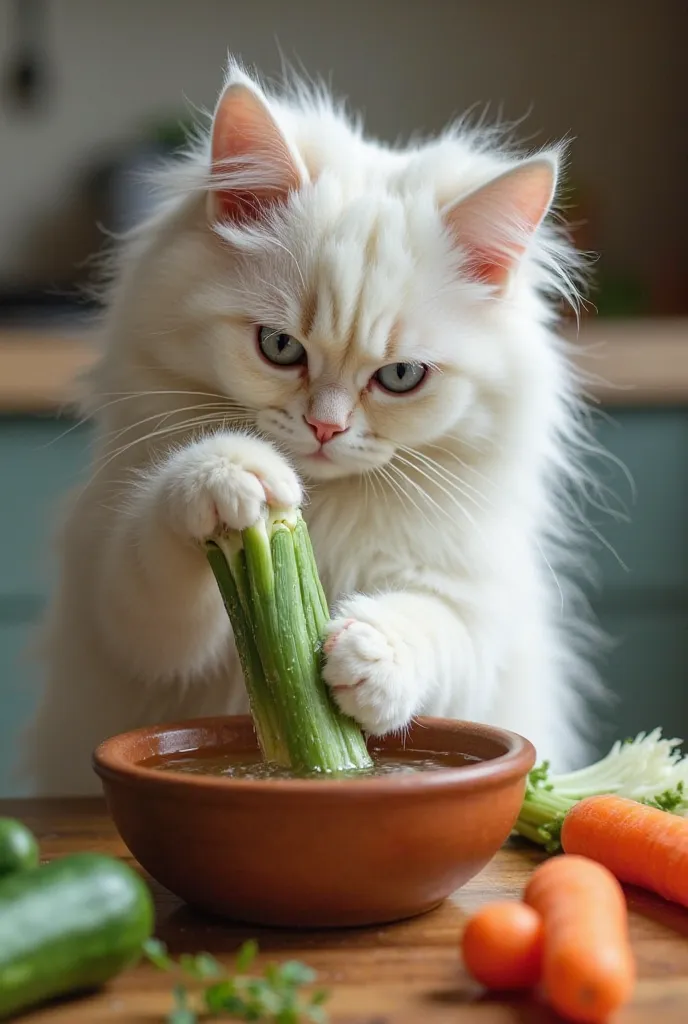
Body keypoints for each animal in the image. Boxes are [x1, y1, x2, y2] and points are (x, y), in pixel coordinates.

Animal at [21, 59, 597, 794]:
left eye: (401, 376)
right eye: (279, 347)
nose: (325, 428)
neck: (323, 511)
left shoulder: (477, 603)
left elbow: (437, 625)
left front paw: (367, 658)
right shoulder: (121, 605)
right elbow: (156, 554)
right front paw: (234, 480)